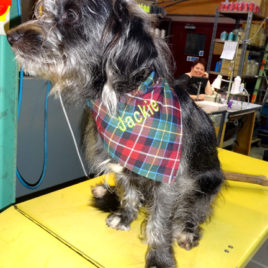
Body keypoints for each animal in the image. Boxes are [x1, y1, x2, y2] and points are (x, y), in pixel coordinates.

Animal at [6, 1, 224, 266]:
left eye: (72, 15)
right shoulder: (123, 164)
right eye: (41, 12)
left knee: (195, 210)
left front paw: (159, 257)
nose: (10, 36)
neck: (121, 100)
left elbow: (160, 222)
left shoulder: (170, 180)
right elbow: (129, 193)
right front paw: (125, 216)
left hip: (208, 183)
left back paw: (186, 230)